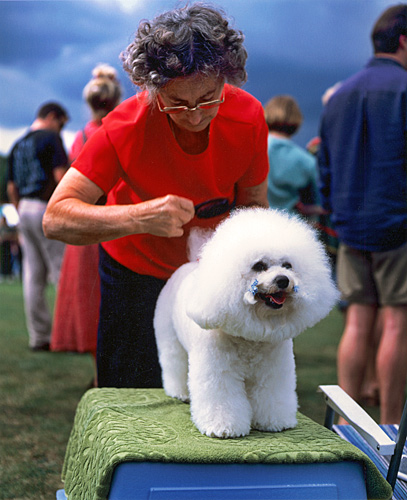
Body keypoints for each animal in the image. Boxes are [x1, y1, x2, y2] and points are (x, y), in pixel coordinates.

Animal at [155, 207, 340, 438]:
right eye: (259, 265)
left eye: (287, 265)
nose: (283, 280)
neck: (251, 338)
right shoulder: (220, 372)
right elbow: (223, 400)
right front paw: (224, 427)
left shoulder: (273, 371)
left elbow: (271, 395)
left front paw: (275, 422)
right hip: (170, 339)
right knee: (174, 363)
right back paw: (179, 392)